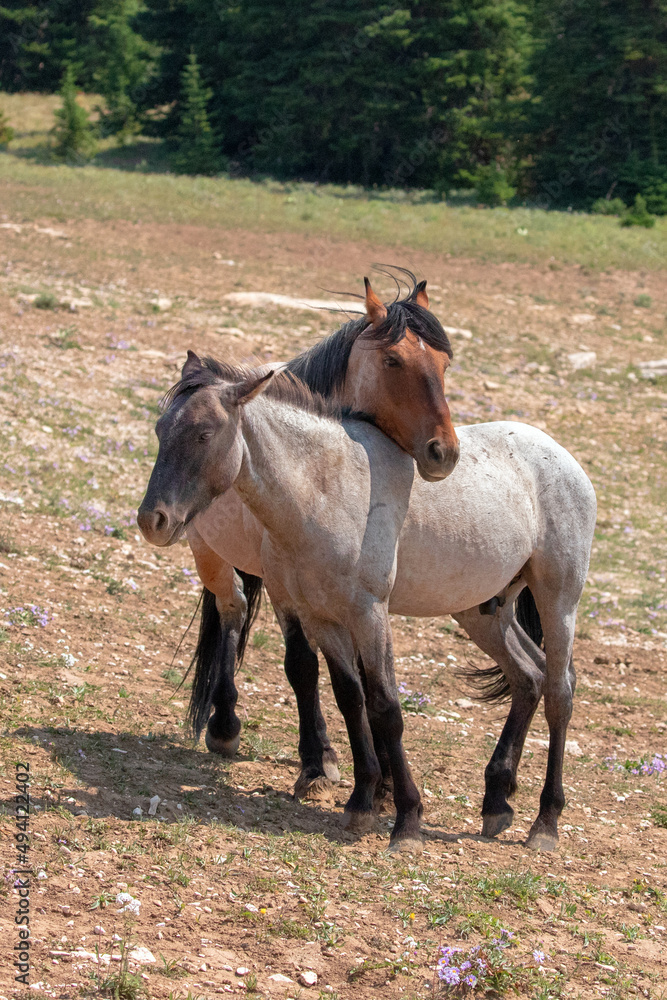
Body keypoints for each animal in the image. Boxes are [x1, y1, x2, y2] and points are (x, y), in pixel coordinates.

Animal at [138, 357, 596, 853]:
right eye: (162, 429)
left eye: (204, 433)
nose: (152, 520)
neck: (325, 489)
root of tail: (564, 459)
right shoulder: (320, 616)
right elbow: (348, 696)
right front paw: (361, 799)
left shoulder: (368, 613)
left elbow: (385, 708)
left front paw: (407, 819)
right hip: (483, 611)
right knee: (529, 676)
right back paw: (496, 800)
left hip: (558, 600)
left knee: (559, 693)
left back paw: (545, 822)